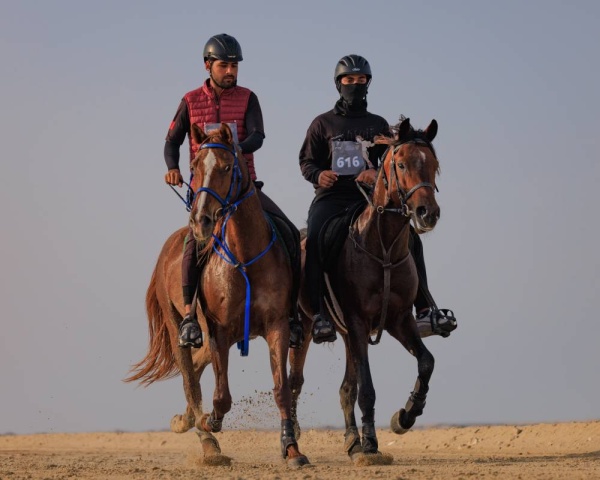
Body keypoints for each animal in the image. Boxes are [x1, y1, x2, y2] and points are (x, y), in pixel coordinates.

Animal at [123, 122, 308, 466]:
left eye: (226, 167)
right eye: (194, 167)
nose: (201, 219)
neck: (246, 256)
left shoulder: (277, 325)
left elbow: (281, 388)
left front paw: (292, 448)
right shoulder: (219, 331)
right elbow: (220, 397)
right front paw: (209, 422)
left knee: (196, 369)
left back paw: (187, 421)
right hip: (179, 328)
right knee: (189, 376)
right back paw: (206, 440)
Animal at [288, 115, 442, 462]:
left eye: (434, 165)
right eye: (401, 163)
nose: (428, 213)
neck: (382, 247)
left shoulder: (399, 320)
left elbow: (426, 362)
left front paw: (406, 415)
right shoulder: (358, 323)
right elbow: (368, 389)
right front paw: (372, 442)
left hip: (347, 335)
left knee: (346, 387)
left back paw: (351, 440)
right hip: (306, 328)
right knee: (295, 382)